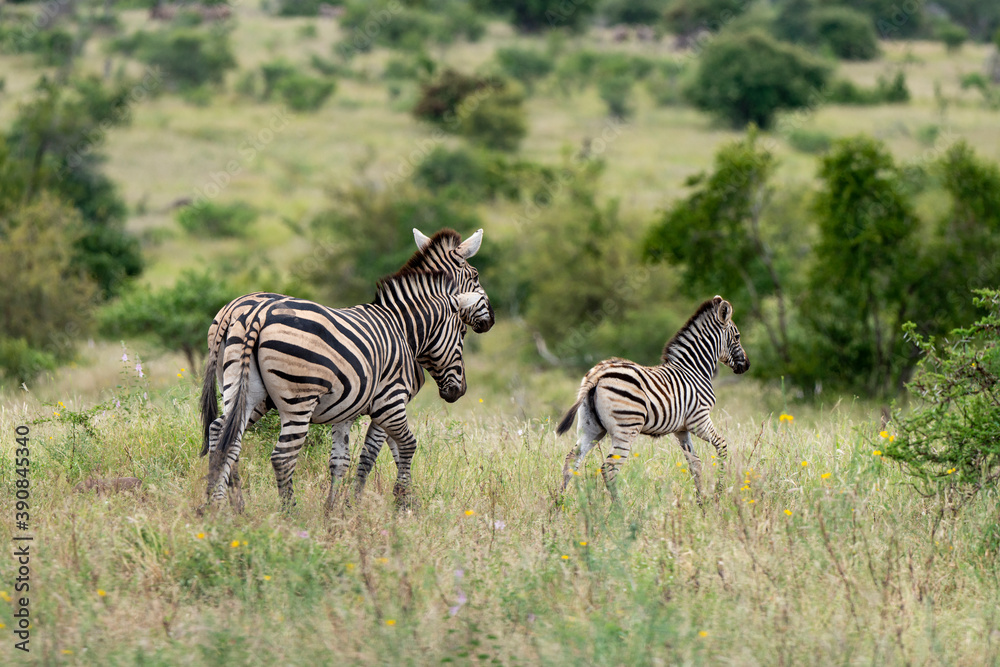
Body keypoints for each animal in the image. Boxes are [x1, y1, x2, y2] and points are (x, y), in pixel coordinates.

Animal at [199, 227, 493, 509]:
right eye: (476, 276)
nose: (490, 319)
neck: (402, 326)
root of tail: (254, 314)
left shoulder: (347, 410)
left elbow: (342, 459)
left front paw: (335, 510)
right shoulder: (389, 402)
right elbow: (390, 449)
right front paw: (393, 502)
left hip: (244, 391)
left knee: (224, 436)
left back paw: (220, 504)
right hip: (298, 400)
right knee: (281, 456)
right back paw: (287, 513)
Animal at [556, 296, 749, 499]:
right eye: (737, 336)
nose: (747, 365)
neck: (694, 368)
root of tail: (599, 374)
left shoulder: (681, 429)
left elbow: (695, 463)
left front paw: (701, 500)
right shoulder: (699, 419)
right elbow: (722, 445)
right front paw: (718, 492)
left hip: (590, 427)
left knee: (572, 460)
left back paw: (558, 503)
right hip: (625, 429)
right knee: (609, 468)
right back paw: (619, 507)